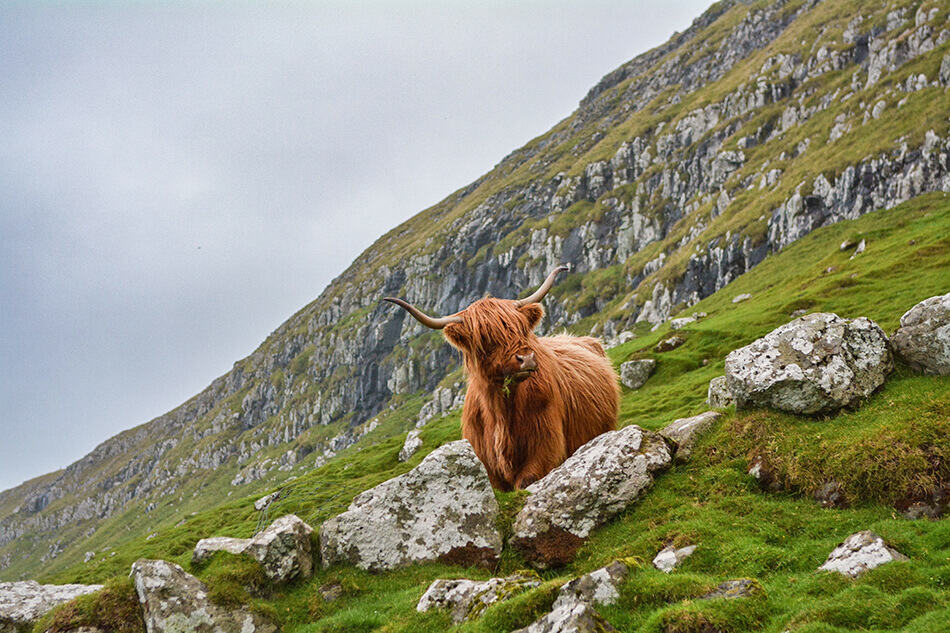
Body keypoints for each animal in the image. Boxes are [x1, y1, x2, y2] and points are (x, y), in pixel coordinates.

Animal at [384, 264, 620, 492]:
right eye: (485, 339)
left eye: (521, 329)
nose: (527, 359)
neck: (500, 414)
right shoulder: (486, 464)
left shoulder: (546, 448)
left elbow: (526, 481)